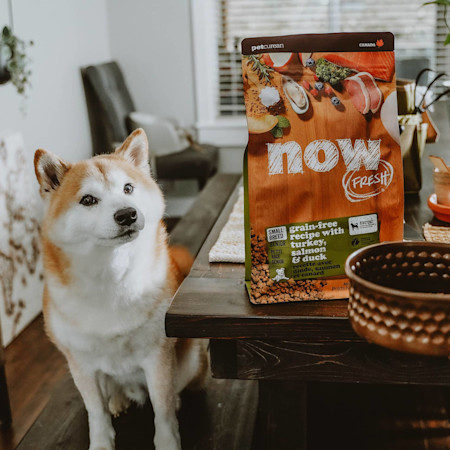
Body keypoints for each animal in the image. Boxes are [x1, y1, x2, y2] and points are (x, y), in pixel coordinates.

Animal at [34, 129, 208, 450]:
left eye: (128, 188)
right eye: (88, 200)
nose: (127, 214)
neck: (111, 277)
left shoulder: (157, 356)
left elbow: (163, 410)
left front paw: (168, 441)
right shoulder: (81, 363)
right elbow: (96, 413)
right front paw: (102, 442)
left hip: (189, 360)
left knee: (172, 392)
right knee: (113, 391)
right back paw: (117, 400)